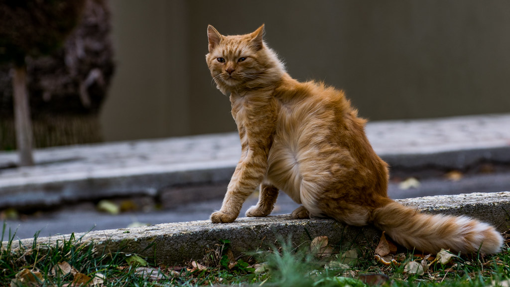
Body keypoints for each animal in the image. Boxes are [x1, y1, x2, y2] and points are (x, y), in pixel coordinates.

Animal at [205, 24, 504, 254]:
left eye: (241, 59)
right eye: (221, 59)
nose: (229, 70)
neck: (250, 91)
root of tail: (379, 198)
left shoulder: (254, 150)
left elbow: (237, 185)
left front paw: (225, 215)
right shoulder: (265, 155)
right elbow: (266, 191)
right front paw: (260, 212)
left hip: (312, 180)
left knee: (350, 217)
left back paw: (302, 211)